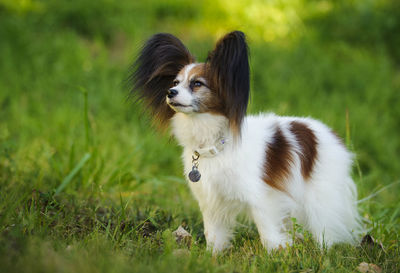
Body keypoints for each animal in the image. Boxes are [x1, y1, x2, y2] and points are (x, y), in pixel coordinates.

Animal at [128, 30, 362, 252]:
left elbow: (268, 230)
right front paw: (213, 256)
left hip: (318, 194)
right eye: (175, 82)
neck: (215, 144)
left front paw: (277, 253)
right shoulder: (211, 200)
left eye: (197, 84)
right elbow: (213, 233)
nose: (170, 92)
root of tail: (327, 132)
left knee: (324, 224)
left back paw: (324, 249)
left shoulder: (262, 198)